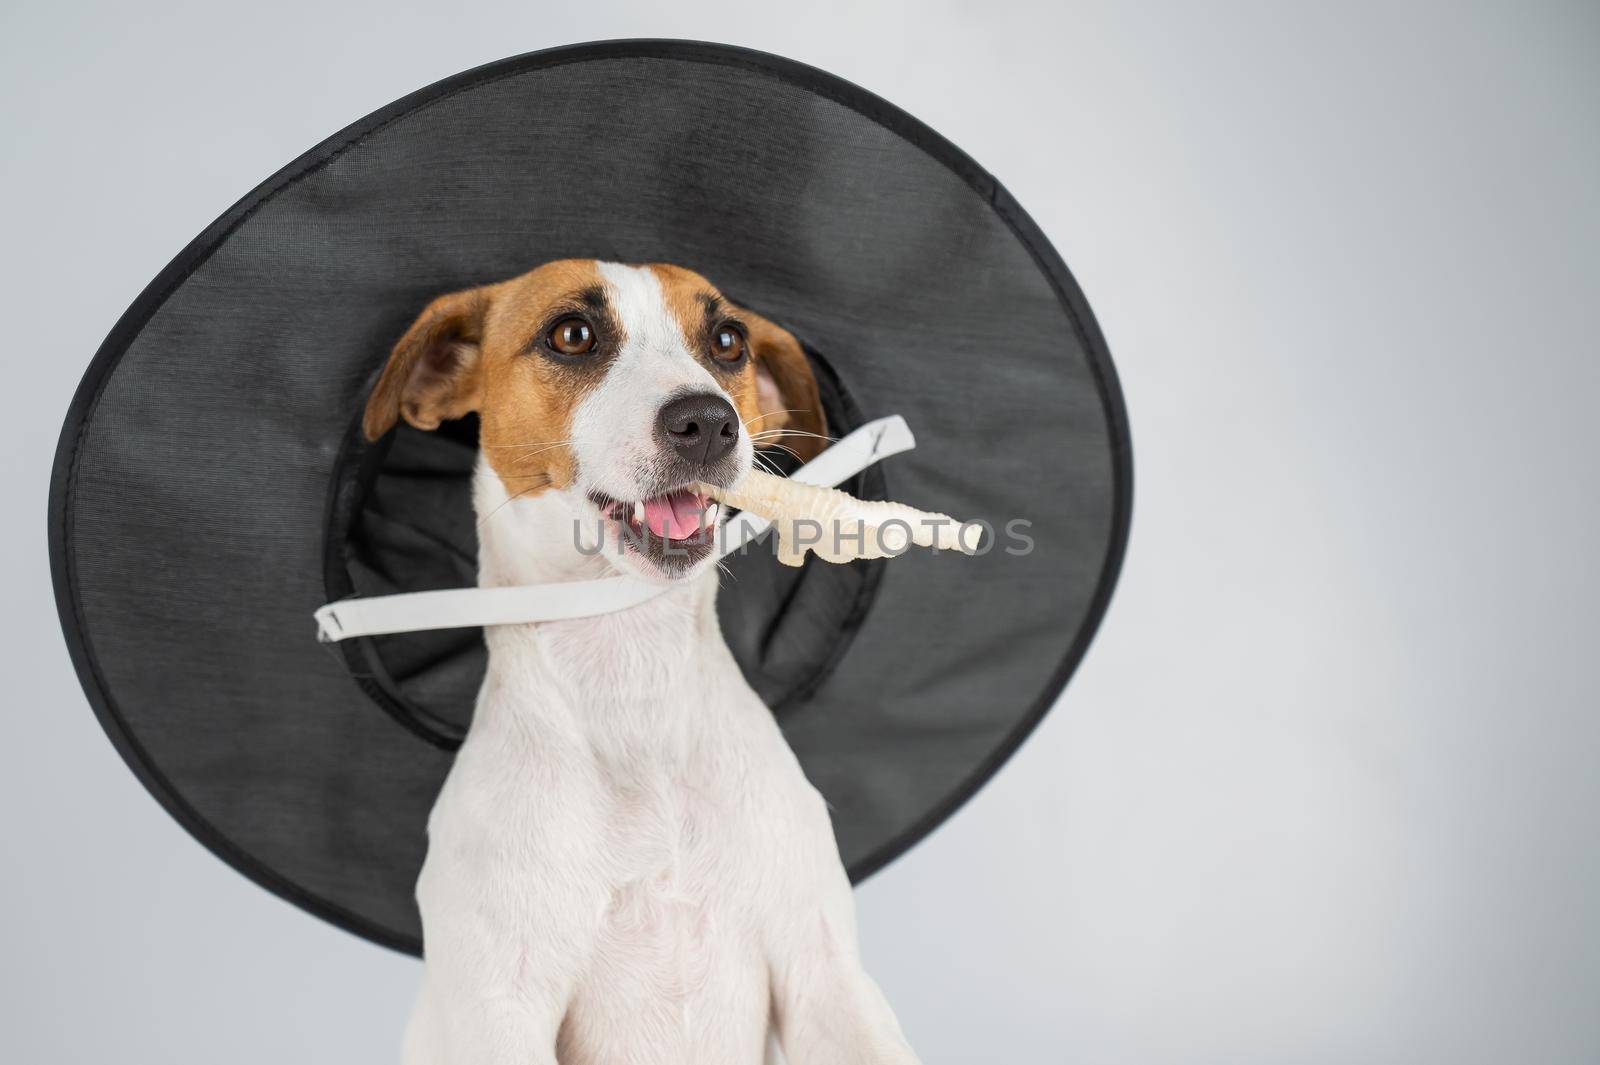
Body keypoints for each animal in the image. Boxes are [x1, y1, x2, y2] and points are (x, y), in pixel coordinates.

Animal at [356, 259, 921, 1061]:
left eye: (728, 339)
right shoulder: (500, 1011)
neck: (632, 679)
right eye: (572, 334)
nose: (708, 421)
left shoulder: (826, 977)